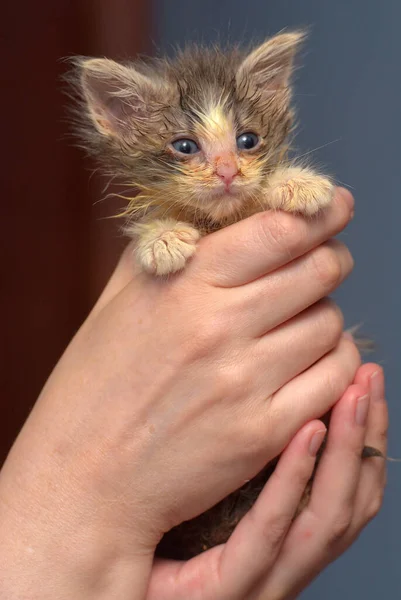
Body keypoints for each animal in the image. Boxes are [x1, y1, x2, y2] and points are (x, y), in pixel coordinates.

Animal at [72, 31, 382, 556]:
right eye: (184, 146)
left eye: (247, 141)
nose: (227, 172)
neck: (221, 220)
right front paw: (161, 239)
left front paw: (296, 183)